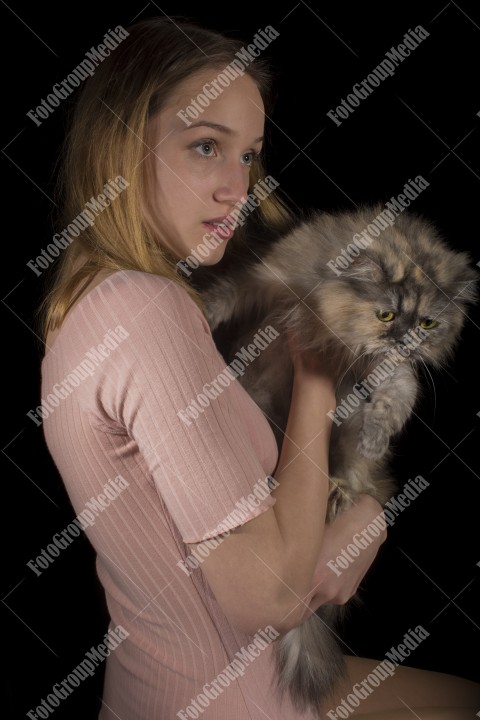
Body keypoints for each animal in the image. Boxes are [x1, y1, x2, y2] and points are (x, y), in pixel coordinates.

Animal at [198, 205, 476, 716]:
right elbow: (229, 292)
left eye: (428, 323)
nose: (404, 339)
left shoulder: (388, 369)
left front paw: (375, 435)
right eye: (386, 313)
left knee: (349, 474)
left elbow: (399, 393)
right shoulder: (269, 281)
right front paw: (203, 309)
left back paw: (337, 492)